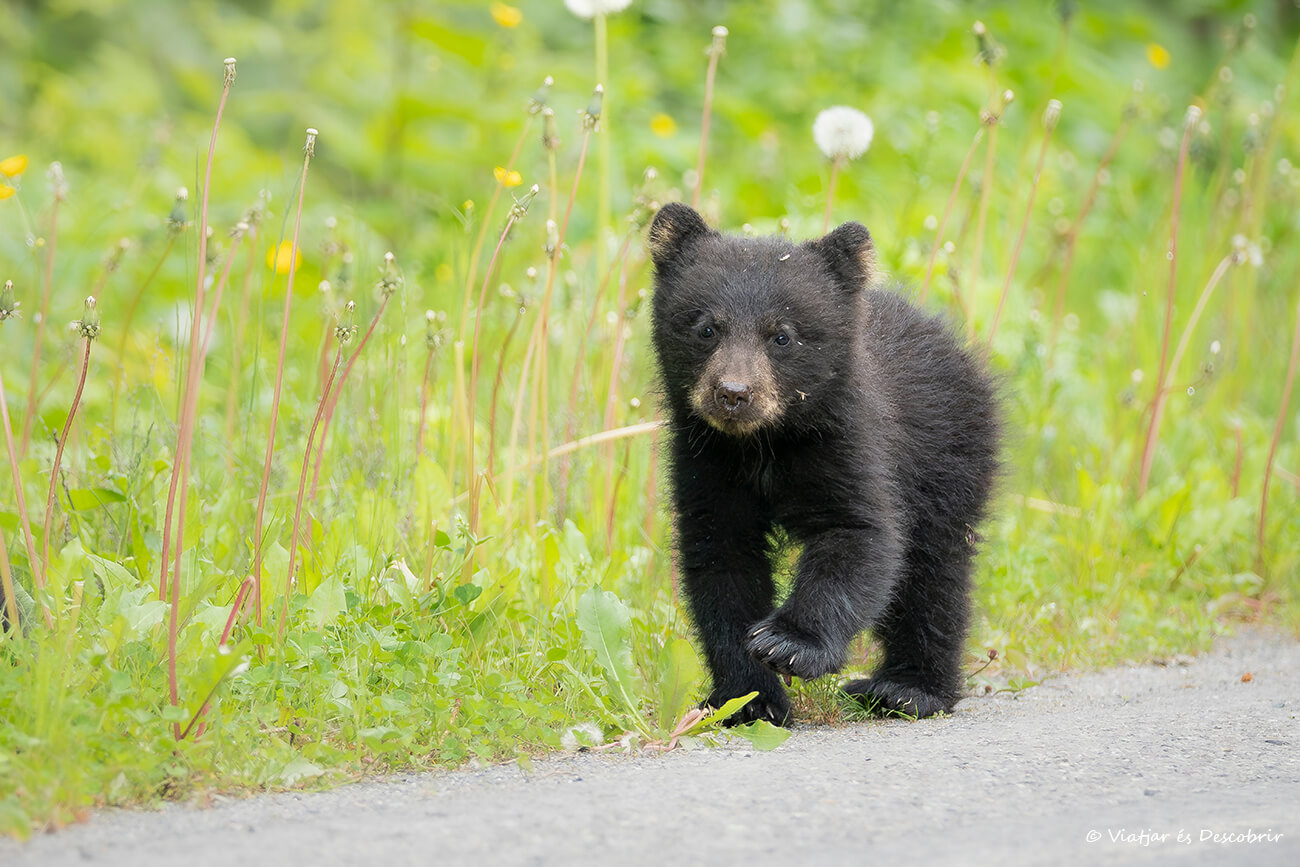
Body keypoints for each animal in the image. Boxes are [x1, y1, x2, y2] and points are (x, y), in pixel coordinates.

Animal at [647, 202, 1001, 726]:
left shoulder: (850, 443)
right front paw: (746, 699)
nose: (733, 393)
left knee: (934, 574)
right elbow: (721, 562)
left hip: (948, 458)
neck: (764, 444)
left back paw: (907, 690)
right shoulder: (706, 460)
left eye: (781, 336)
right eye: (707, 328)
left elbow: (857, 535)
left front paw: (789, 644)